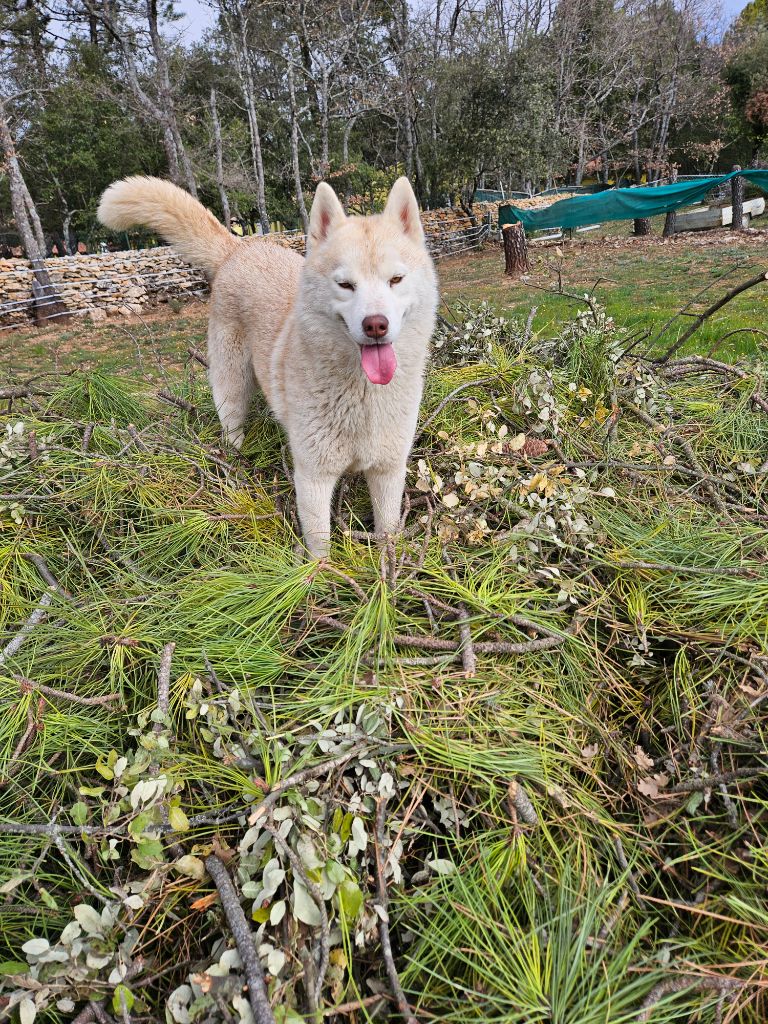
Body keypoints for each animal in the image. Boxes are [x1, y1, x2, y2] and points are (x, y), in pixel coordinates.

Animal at [97, 178, 438, 561]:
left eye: (396, 279)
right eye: (345, 285)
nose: (375, 325)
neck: (362, 394)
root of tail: (238, 247)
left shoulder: (388, 470)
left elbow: (388, 534)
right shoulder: (313, 477)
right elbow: (320, 545)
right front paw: (321, 574)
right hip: (232, 388)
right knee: (231, 430)